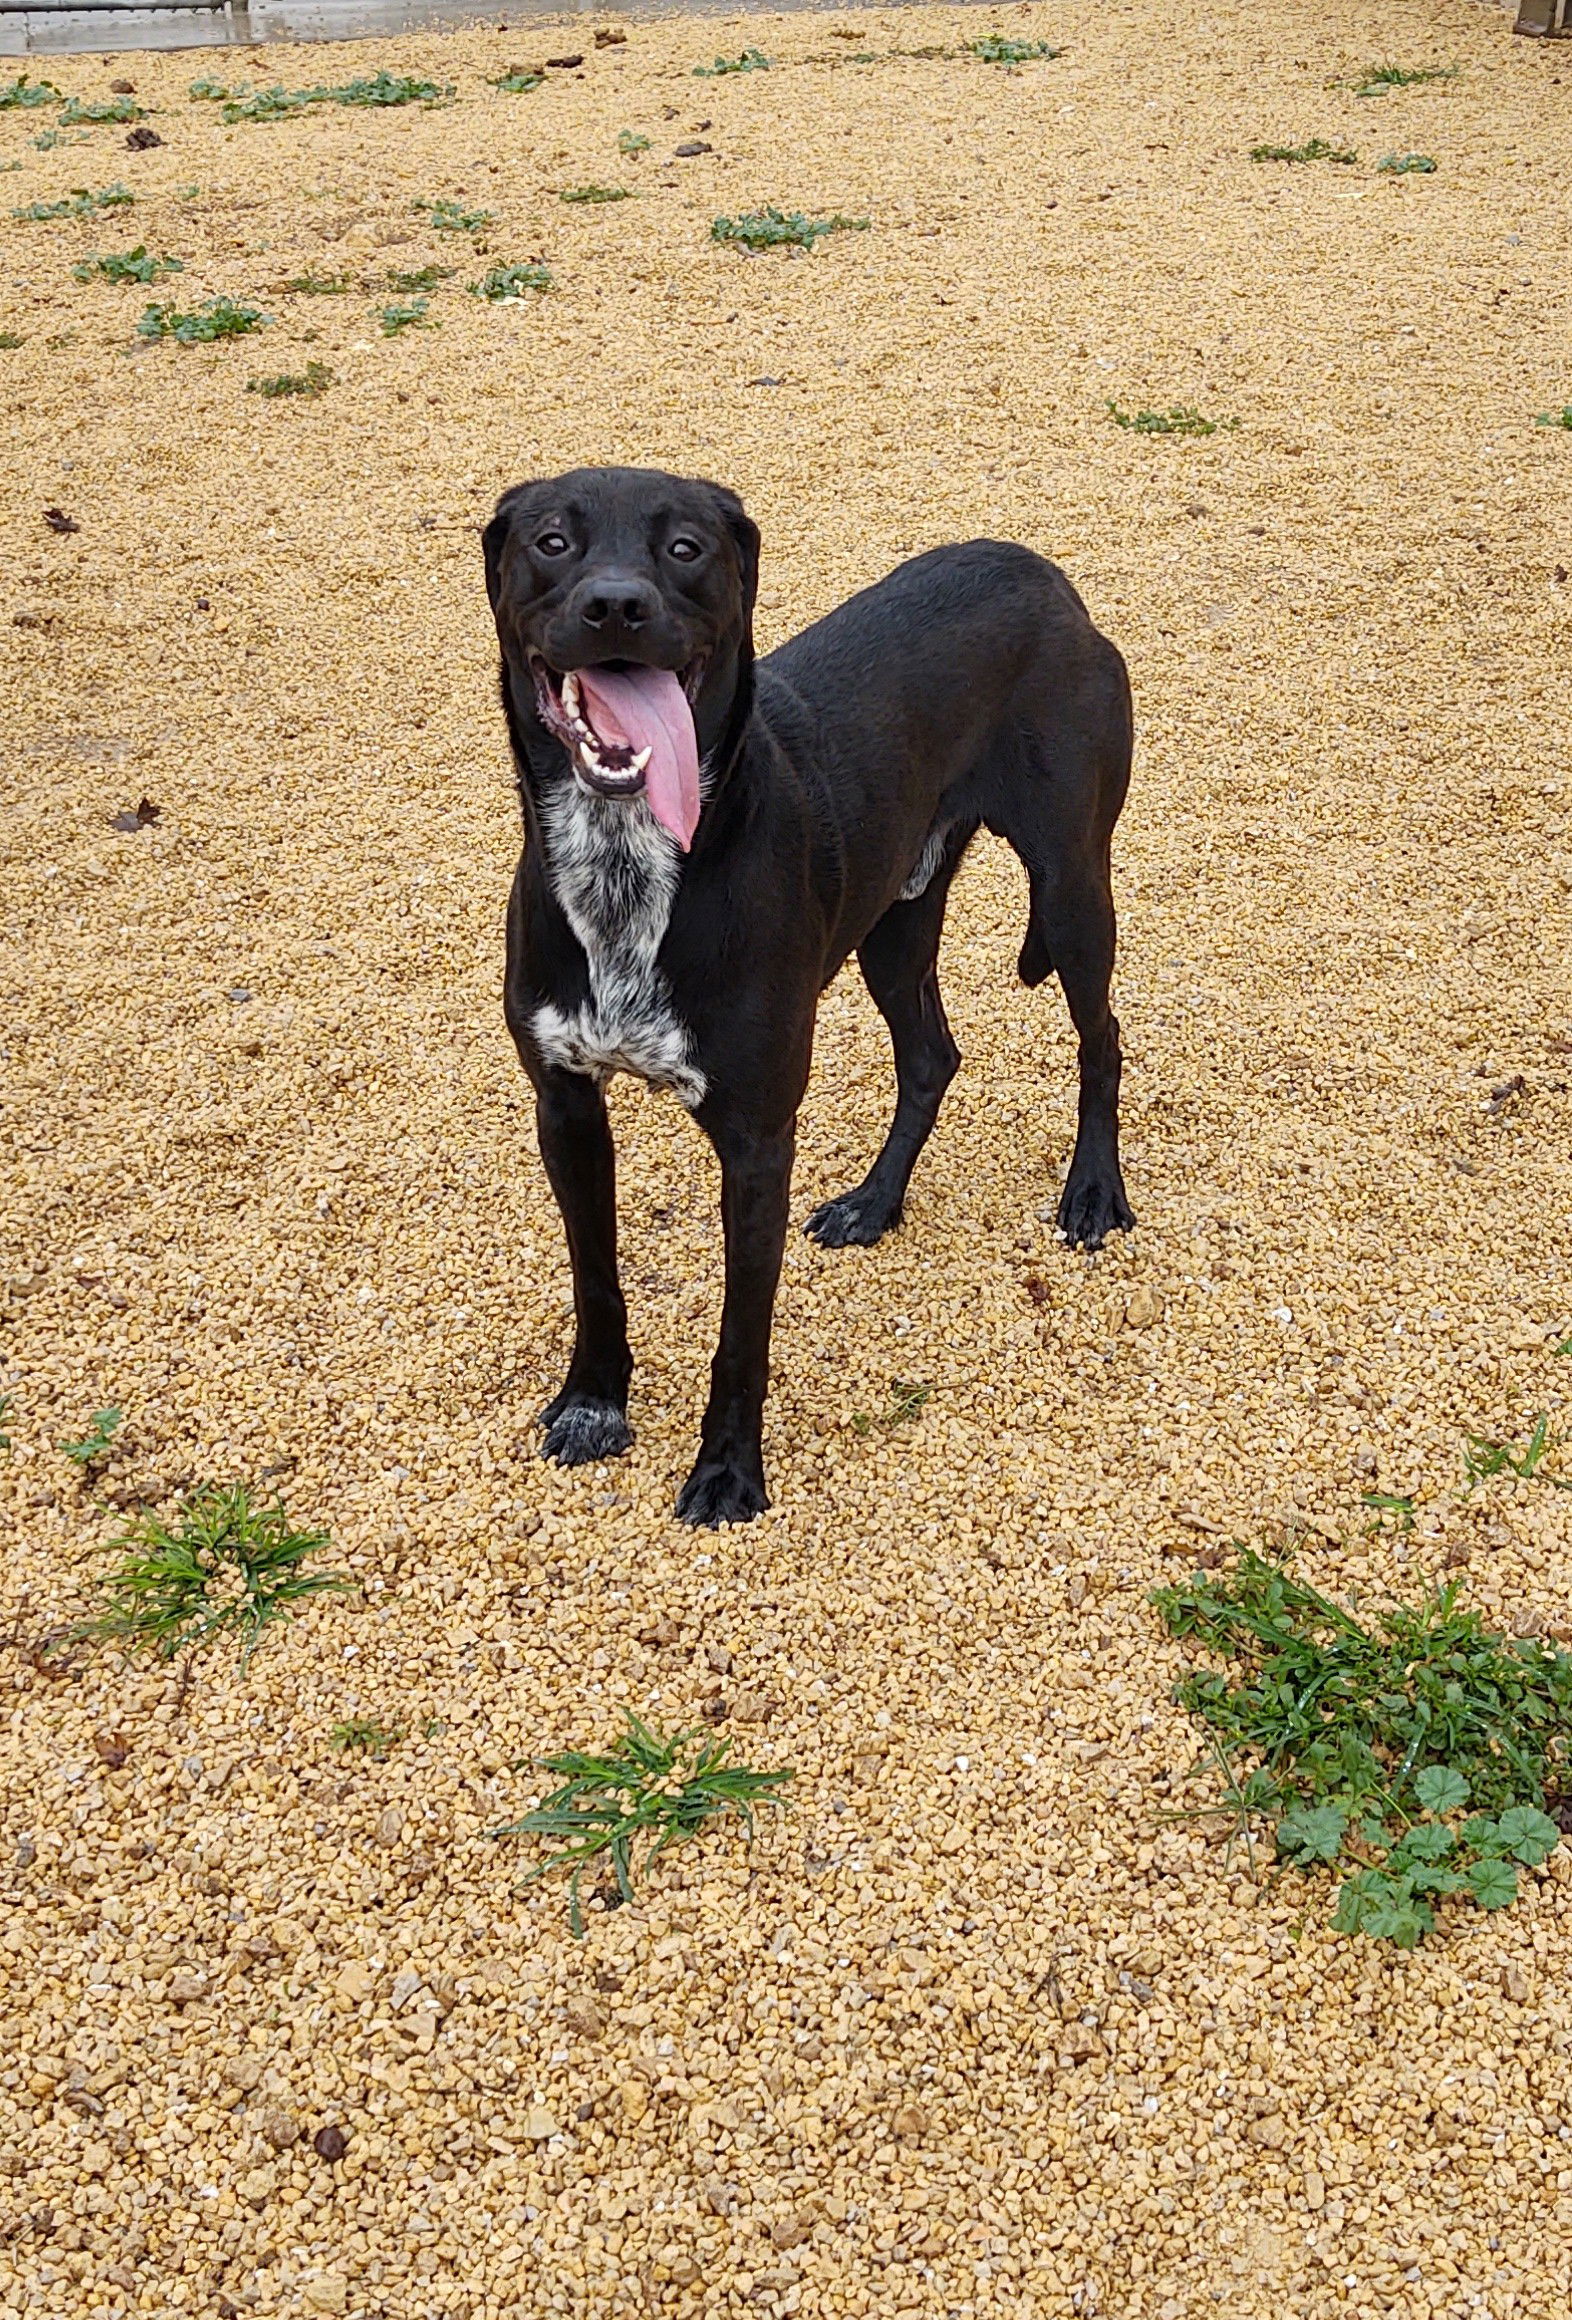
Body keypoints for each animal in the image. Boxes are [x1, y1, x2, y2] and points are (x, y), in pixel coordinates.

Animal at [479, 468, 1131, 1521]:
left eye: (686, 548)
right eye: (551, 541)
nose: (615, 605)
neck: (629, 861)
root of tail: (1041, 575)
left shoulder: (756, 1139)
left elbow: (742, 1331)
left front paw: (727, 1472)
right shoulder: (565, 1107)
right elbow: (594, 1277)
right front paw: (592, 1403)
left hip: (1072, 888)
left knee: (1101, 1036)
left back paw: (1094, 1191)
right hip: (894, 924)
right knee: (932, 1056)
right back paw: (875, 1201)